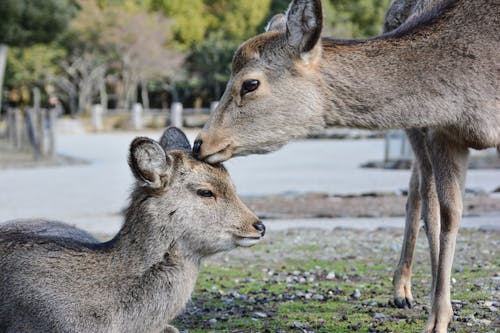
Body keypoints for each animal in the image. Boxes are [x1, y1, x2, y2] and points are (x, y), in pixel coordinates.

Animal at [192, 0, 500, 330]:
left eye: (250, 84)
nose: (199, 143)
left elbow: (449, 215)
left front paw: (440, 315)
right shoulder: (440, 130)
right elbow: (447, 214)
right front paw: (438, 318)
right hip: (416, 128)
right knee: (421, 195)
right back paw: (403, 291)